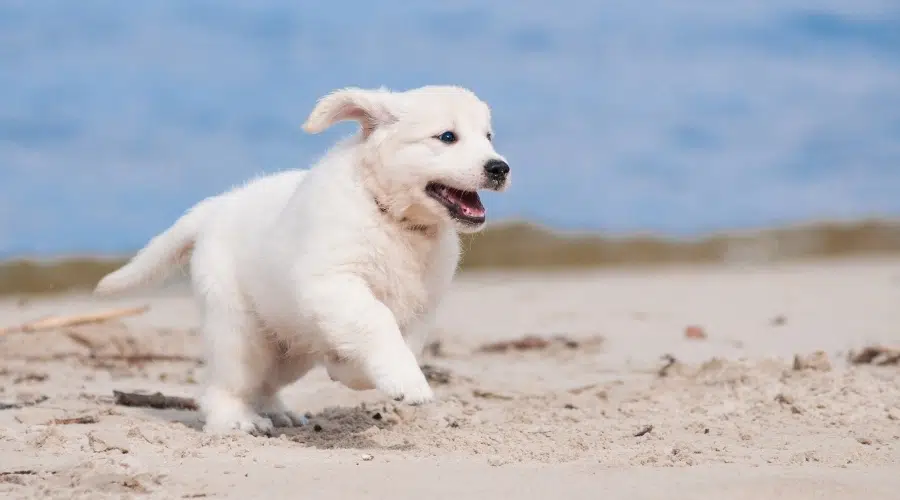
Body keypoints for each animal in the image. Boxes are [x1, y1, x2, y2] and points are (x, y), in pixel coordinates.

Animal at [96, 85, 512, 434]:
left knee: (265, 383)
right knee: (224, 385)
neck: (394, 220)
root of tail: (217, 206)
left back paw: (276, 411)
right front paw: (404, 380)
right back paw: (235, 421)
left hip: (288, 347)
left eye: (488, 137)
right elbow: (376, 321)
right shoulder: (334, 281)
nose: (499, 168)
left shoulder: (422, 305)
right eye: (447, 137)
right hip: (239, 332)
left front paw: (353, 370)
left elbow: (403, 341)